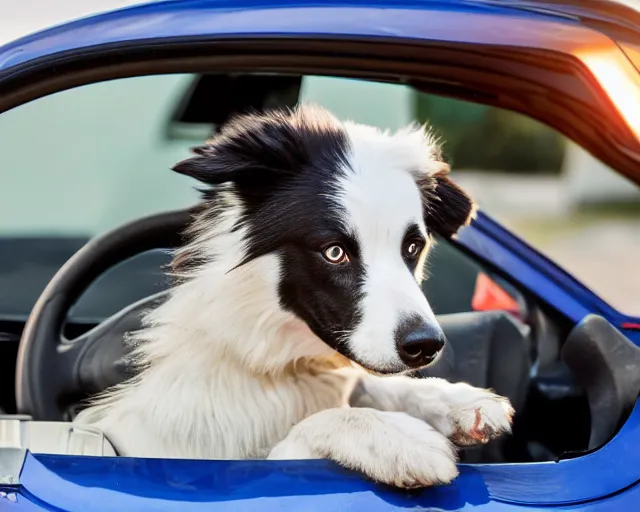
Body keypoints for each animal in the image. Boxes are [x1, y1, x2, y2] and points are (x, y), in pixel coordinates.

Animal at [76, 104, 516, 488]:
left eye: (412, 247)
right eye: (334, 252)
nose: (425, 345)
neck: (271, 364)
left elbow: (376, 384)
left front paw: (459, 400)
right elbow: (324, 420)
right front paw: (401, 438)